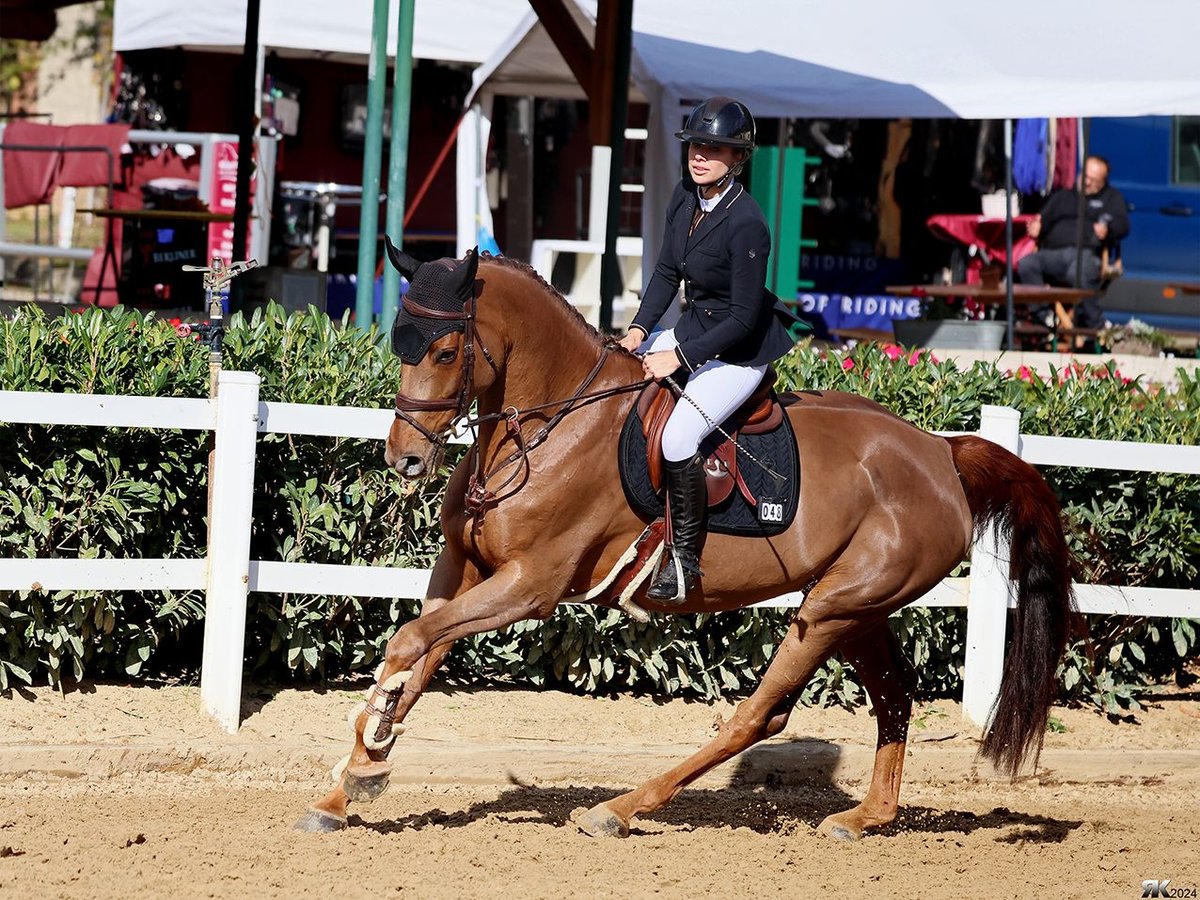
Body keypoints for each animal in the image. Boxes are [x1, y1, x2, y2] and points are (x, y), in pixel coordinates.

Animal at [292, 243, 1080, 844]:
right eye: (400, 342)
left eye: (447, 349)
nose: (405, 461)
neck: (544, 427)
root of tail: (942, 451)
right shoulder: (464, 570)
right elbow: (416, 649)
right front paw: (352, 776)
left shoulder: (530, 586)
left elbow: (407, 645)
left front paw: (367, 759)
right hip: (855, 608)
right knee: (895, 695)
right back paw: (864, 819)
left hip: (829, 611)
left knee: (763, 713)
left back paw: (618, 809)